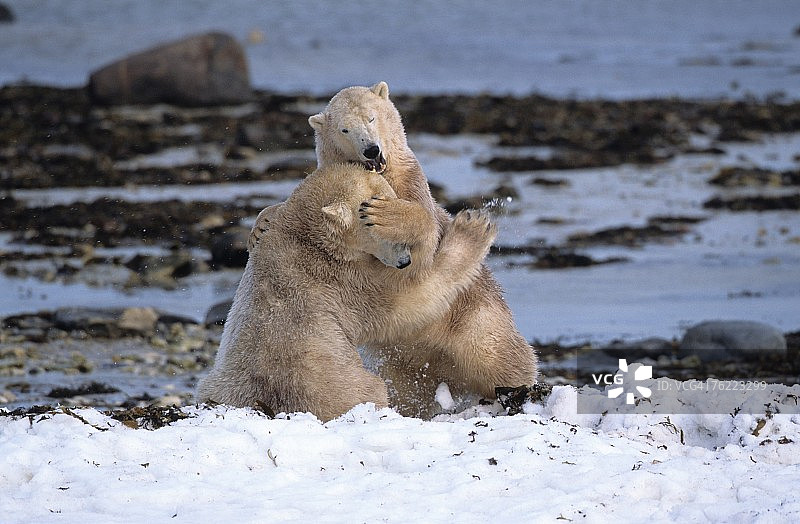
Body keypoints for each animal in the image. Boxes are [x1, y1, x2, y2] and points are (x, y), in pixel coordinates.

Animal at [197, 162, 497, 422]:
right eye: (376, 229)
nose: (404, 261)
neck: (306, 235)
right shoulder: (346, 281)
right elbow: (409, 301)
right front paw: (473, 227)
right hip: (346, 384)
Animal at [249, 82, 537, 417]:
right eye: (345, 128)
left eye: (371, 118)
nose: (371, 149)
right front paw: (260, 226)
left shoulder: (410, 184)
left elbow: (423, 232)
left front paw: (385, 215)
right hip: (403, 362)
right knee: (407, 387)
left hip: (477, 321)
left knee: (500, 356)